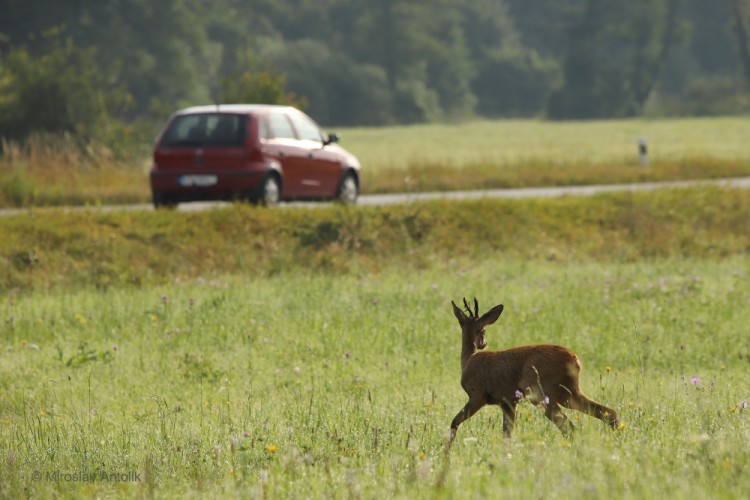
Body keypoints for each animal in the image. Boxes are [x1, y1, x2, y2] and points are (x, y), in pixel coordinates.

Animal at [450, 296, 620, 442]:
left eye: (484, 330)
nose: (483, 343)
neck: (467, 360)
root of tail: (575, 360)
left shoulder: (477, 395)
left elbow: (454, 422)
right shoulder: (508, 401)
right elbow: (507, 434)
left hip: (540, 391)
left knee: (568, 426)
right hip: (568, 391)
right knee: (606, 412)